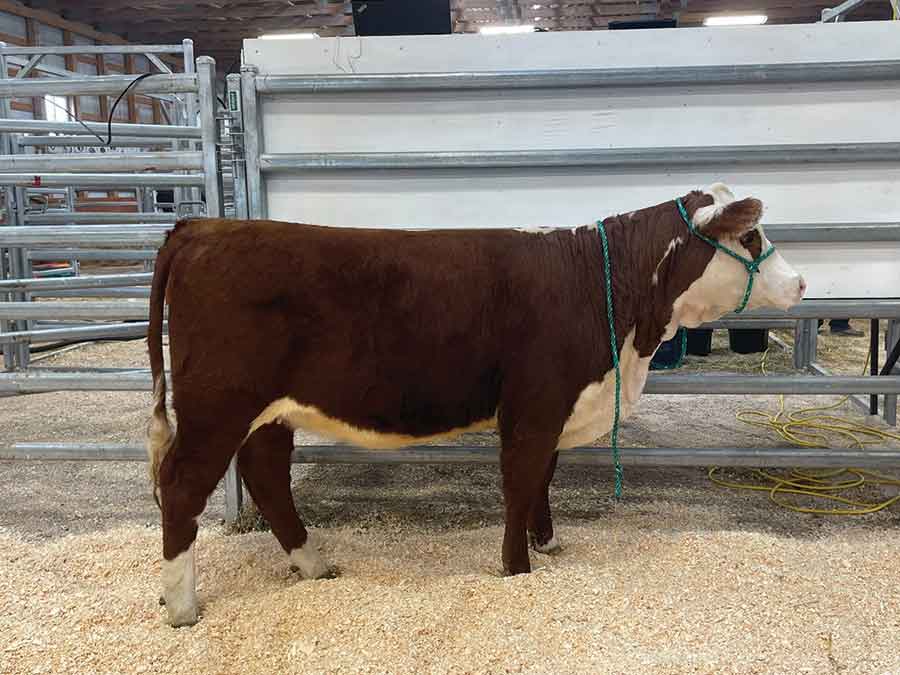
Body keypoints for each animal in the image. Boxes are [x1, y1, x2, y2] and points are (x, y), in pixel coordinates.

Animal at [147, 183, 805, 626]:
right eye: (750, 236)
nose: (800, 283)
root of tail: (200, 227)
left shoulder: (552, 409)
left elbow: (543, 479)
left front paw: (548, 543)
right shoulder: (533, 408)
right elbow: (520, 483)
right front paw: (518, 570)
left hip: (268, 413)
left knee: (265, 474)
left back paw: (314, 565)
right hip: (217, 405)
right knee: (182, 484)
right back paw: (182, 606)